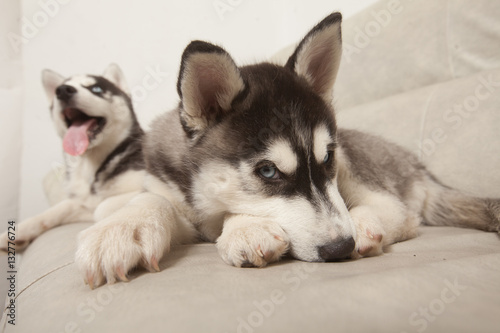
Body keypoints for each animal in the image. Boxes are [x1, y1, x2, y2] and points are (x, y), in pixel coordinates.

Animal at [0, 65, 146, 250]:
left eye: (96, 89)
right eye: (58, 89)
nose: (63, 91)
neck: (91, 165)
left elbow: (102, 207)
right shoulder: (82, 202)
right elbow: (61, 207)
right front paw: (20, 230)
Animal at [74, 13, 500, 288]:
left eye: (326, 158)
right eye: (267, 171)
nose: (340, 248)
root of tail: (418, 166)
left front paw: (245, 228)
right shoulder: (167, 189)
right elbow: (146, 201)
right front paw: (121, 228)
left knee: (399, 212)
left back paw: (365, 225)